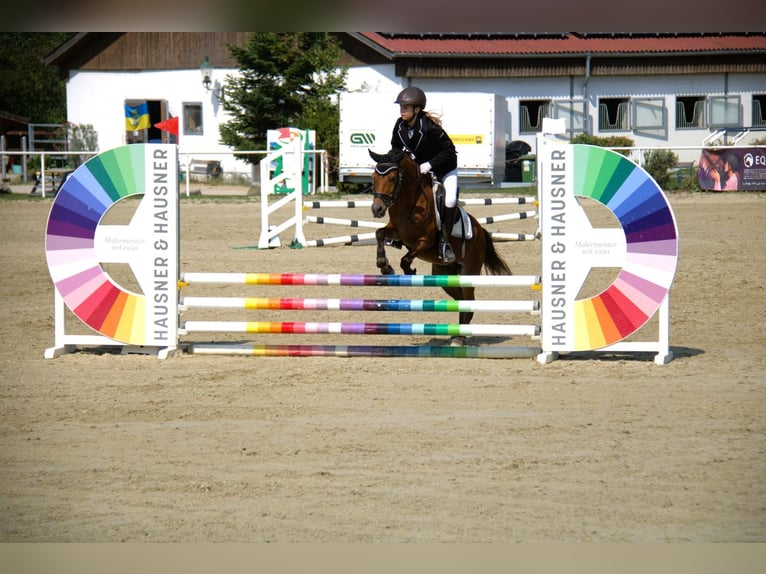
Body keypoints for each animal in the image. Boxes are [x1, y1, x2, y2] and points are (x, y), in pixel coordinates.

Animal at [368, 151, 512, 336]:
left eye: (393, 179)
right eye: (373, 178)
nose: (376, 209)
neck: (409, 202)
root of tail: (480, 230)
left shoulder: (425, 241)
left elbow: (406, 259)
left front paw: (408, 270)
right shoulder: (397, 232)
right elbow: (379, 233)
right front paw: (384, 265)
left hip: (468, 271)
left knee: (468, 304)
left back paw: (459, 338)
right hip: (445, 275)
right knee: (461, 302)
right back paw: (457, 334)